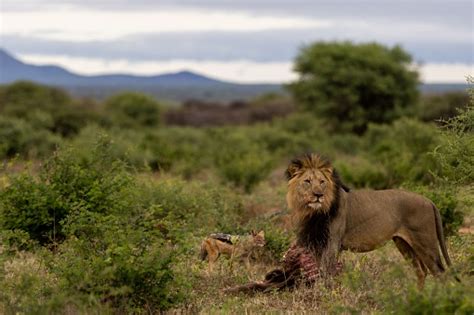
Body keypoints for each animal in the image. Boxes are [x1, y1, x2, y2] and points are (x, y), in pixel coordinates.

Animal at [286, 154, 452, 288]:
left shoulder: (333, 242)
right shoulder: (316, 243)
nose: (318, 195)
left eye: (322, 182)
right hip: (404, 244)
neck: (313, 213)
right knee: (421, 271)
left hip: (425, 243)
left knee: (440, 273)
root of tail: (429, 201)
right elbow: (317, 272)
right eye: (307, 181)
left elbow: (325, 273)